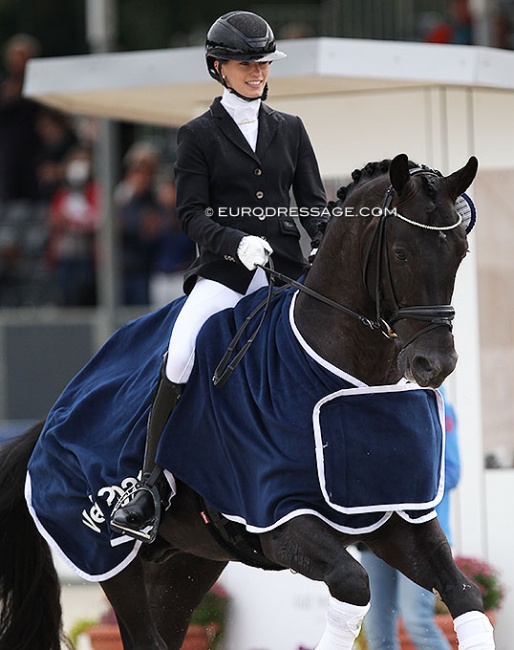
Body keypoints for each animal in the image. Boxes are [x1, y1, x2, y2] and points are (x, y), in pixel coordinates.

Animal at [0, 153, 490, 648]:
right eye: (401, 253)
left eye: (461, 253)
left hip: (185, 563)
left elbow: (465, 593)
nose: (435, 363)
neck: (349, 378)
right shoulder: (282, 519)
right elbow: (354, 585)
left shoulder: (395, 516)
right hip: (111, 560)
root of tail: (50, 419)